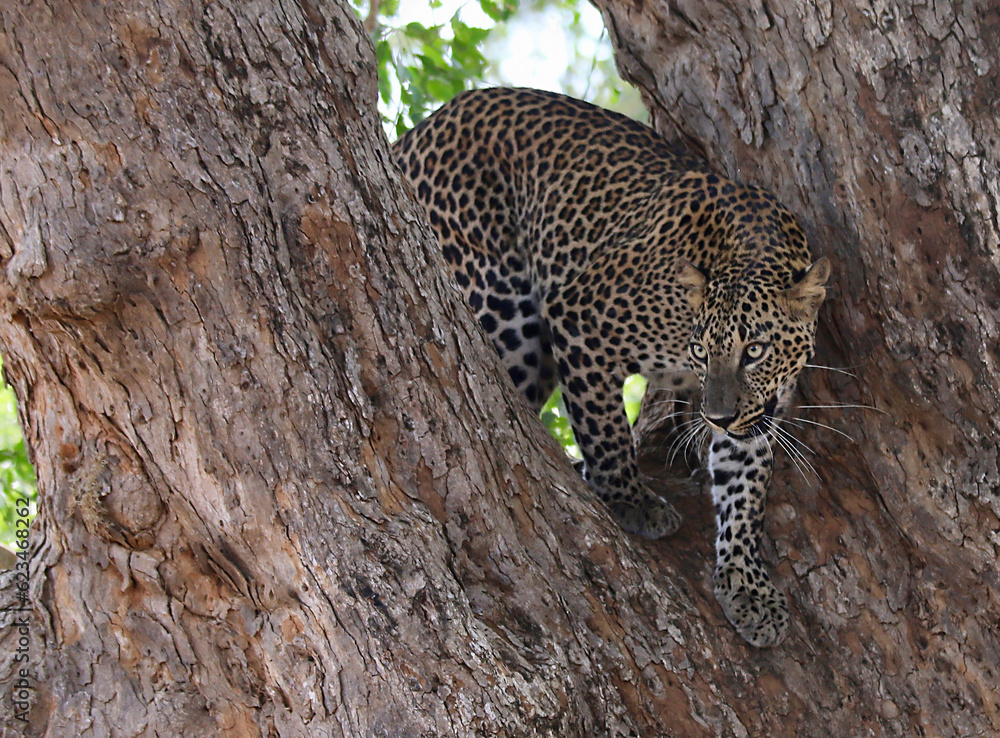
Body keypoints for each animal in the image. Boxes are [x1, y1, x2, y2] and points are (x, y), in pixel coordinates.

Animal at [393, 87, 830, 647]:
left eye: (754, 350)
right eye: (702, 350)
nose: (715, 417)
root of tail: (420, 130)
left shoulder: (756, 411)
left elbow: (745, 491)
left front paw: (746, 585)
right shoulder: (580, 315)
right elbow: (604, 428)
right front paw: (629, 499)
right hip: (506, 313)